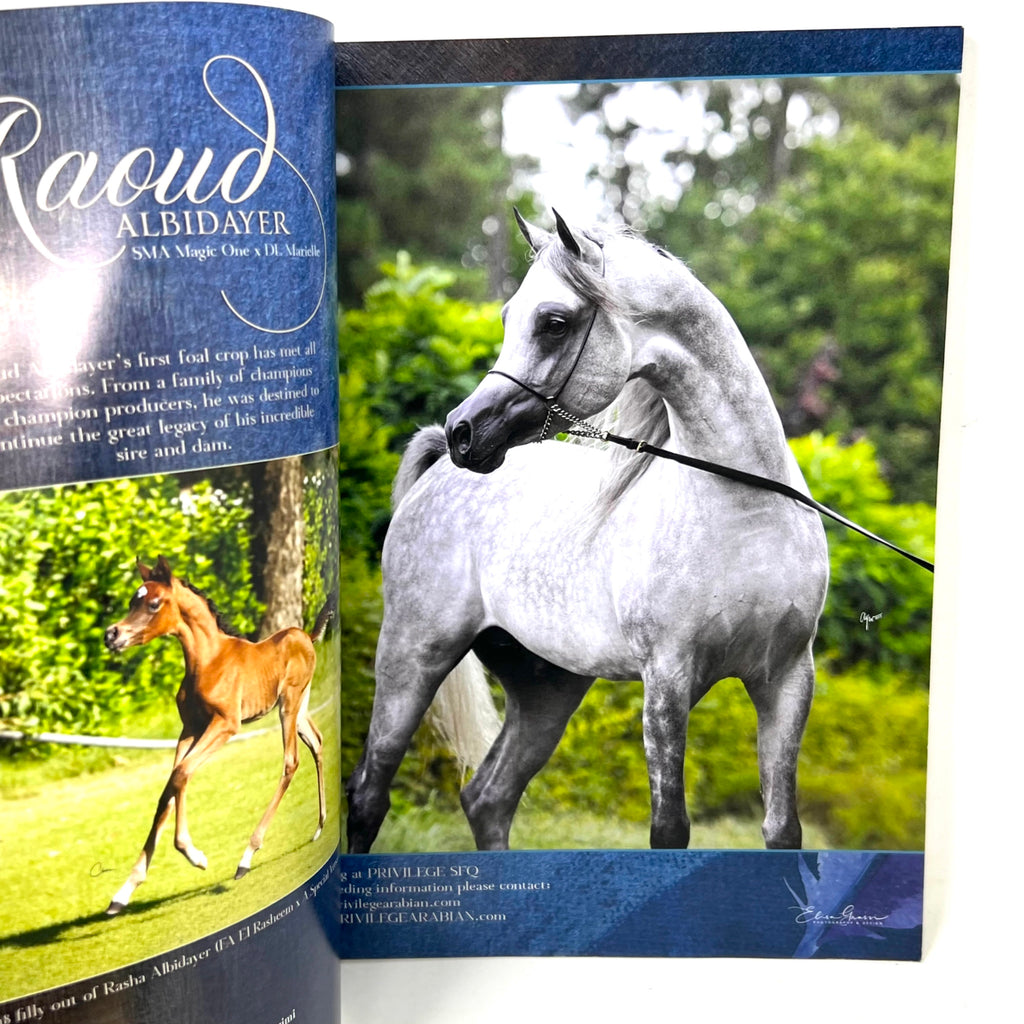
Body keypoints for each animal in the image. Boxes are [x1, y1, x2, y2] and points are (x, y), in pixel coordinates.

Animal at [103, 556, 334, 914]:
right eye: (131, 601)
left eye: (153, 603)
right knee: (317, 741)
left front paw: (193, 854)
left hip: (288, 706)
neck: (208, 661)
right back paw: (320, 826)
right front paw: (123, 893)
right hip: (298, 708)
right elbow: (169, 789)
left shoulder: (225, 725)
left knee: (291, 761)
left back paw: (246, 858)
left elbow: (181, 775)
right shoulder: (190, 729)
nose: (111, 635)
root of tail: (307, 636)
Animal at [345, 210, 829, 854]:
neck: (744, 513)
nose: (463, 431)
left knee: (487, 799)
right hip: (413, 657)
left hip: (548, 689)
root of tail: (437, 473)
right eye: (509, 319)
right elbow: (669, 829)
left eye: (554, 323)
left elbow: (782, 830)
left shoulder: (787, 680)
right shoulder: (667, 681)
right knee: (370, 795)